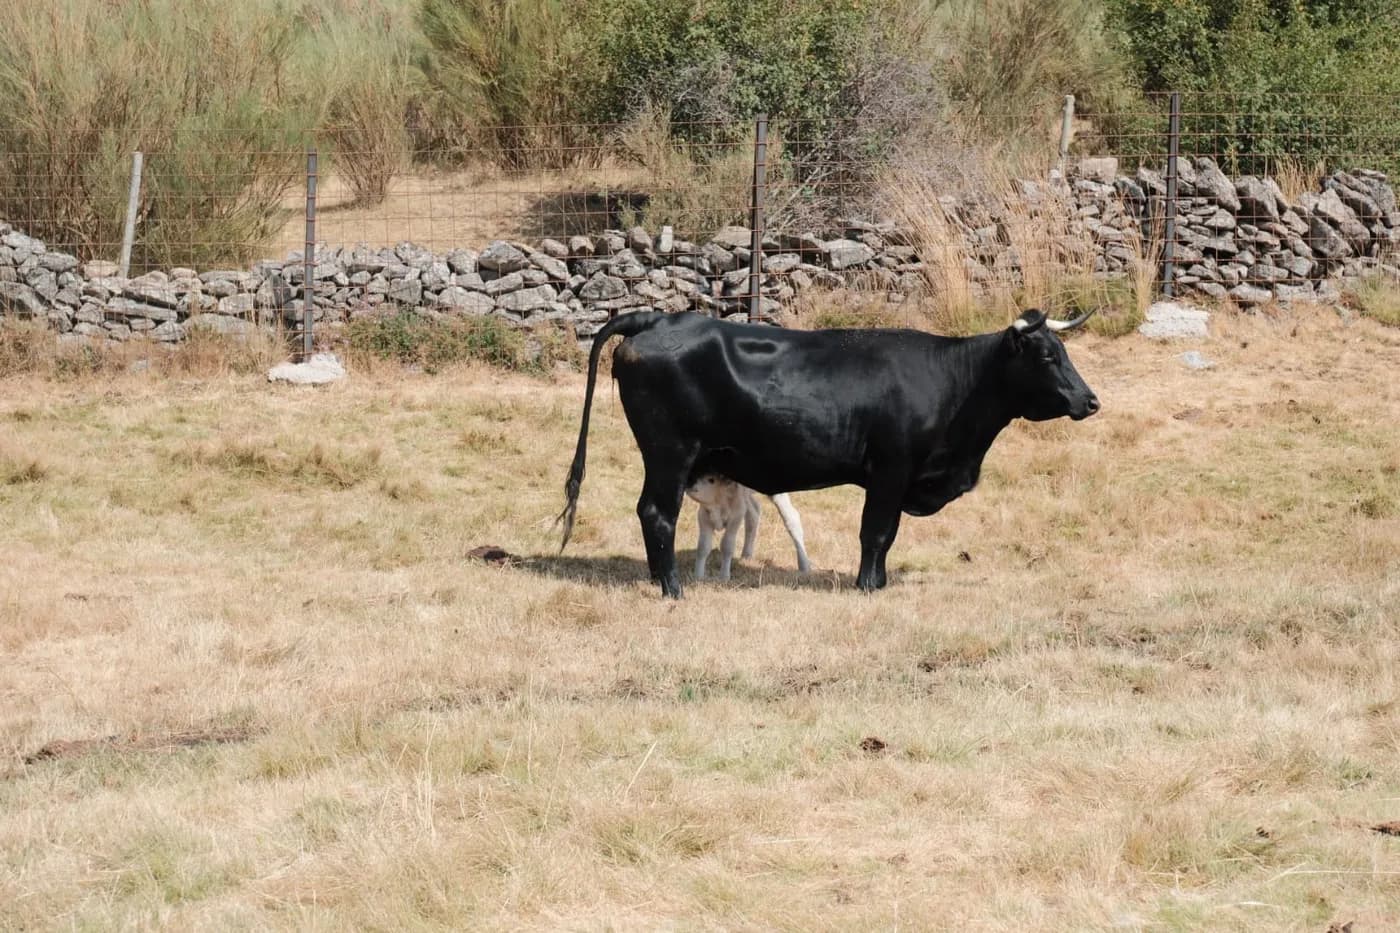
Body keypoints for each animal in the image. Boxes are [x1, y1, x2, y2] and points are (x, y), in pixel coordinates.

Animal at [558, 308, 1099, 598]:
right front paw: (867, 586)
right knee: (657, 512)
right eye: (1046, 356)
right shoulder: (891, 470)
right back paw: (672, 588)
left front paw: (879, 582)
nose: (1090, 401)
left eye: (1065, 352)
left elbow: (886, 536)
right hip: (670, 453)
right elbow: (877, 533)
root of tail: (657, 317)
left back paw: (657, 579)